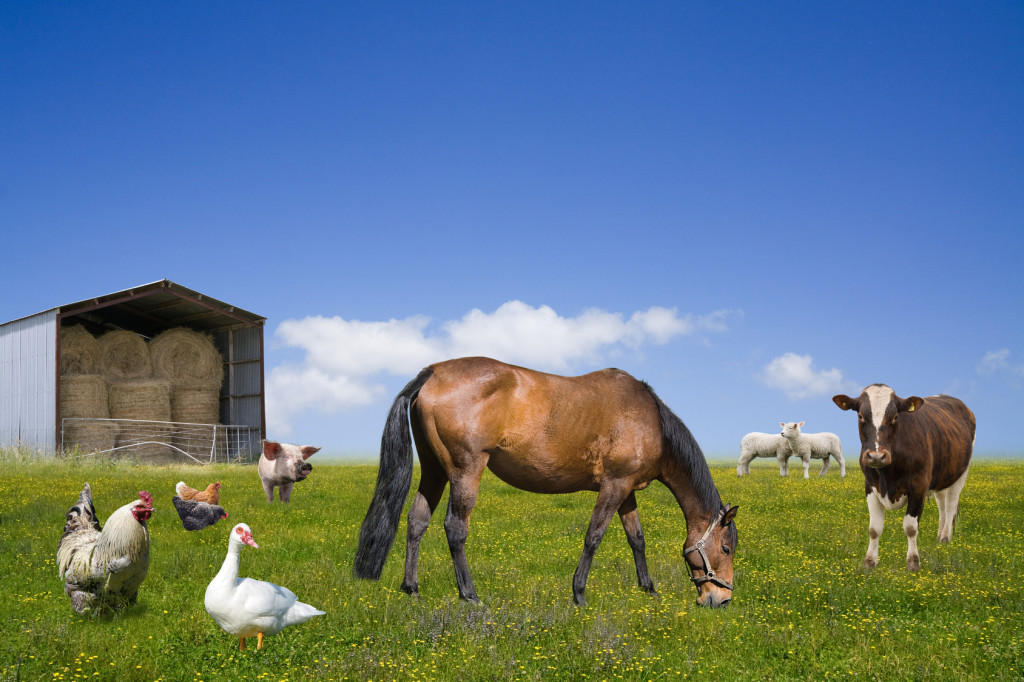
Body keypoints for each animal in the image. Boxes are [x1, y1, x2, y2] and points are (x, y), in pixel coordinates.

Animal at [352, 356, 737, 606]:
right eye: (726, 549)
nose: (720, 599)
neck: (650, 419)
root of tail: (432, 373)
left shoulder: (626, 491)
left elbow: (636, 539)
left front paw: (648, 588)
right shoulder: (613, 487)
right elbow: (594, 537)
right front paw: (579, 594)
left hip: (434, 471)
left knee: (417, 521)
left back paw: (411, 587)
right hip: (465, 471)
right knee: (454, 528)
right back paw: (469, 595)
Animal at [831, 382, 974, 569]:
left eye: (895, 417)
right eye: (861, 416)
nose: (876, 456)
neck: (887, 475)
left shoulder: (919, 486)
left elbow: (911, 527)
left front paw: (913, 562)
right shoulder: (870, 486)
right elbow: (874, 528)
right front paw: (869, 562)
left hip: (961, 473)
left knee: (950, 505)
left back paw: (945, 537)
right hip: (942, 475)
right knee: (942, 505)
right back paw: (939, 537)